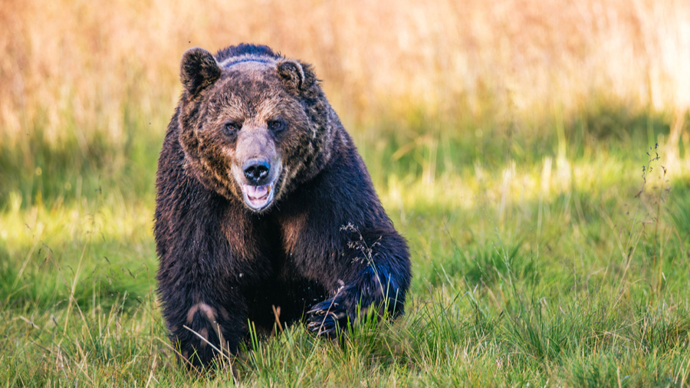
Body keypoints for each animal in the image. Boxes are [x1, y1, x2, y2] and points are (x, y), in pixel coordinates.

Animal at [154, 44, 412, 368]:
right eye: (231, 125)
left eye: (276, 122)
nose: (256, 169)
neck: (265, 211)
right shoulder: (200, 201)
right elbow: (199, 273)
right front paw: (209, 353)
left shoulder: (323, 185)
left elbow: (361, 244)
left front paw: (330, 315)